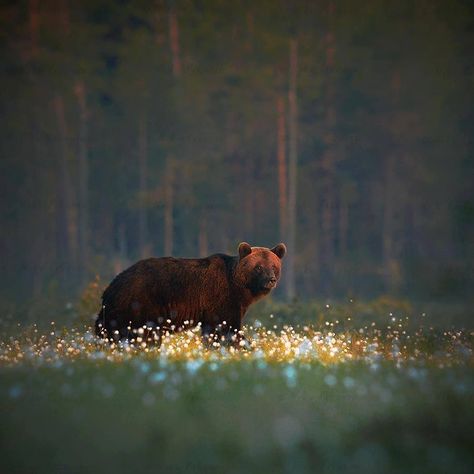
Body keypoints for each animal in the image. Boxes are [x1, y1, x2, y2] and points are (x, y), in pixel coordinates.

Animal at [94, 243, 284, 346]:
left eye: (273, 266)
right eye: (258, 267)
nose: (271, 280)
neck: (241, 289)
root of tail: (111, 286)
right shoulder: (221, 298)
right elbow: (225, 327)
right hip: (140, 303)